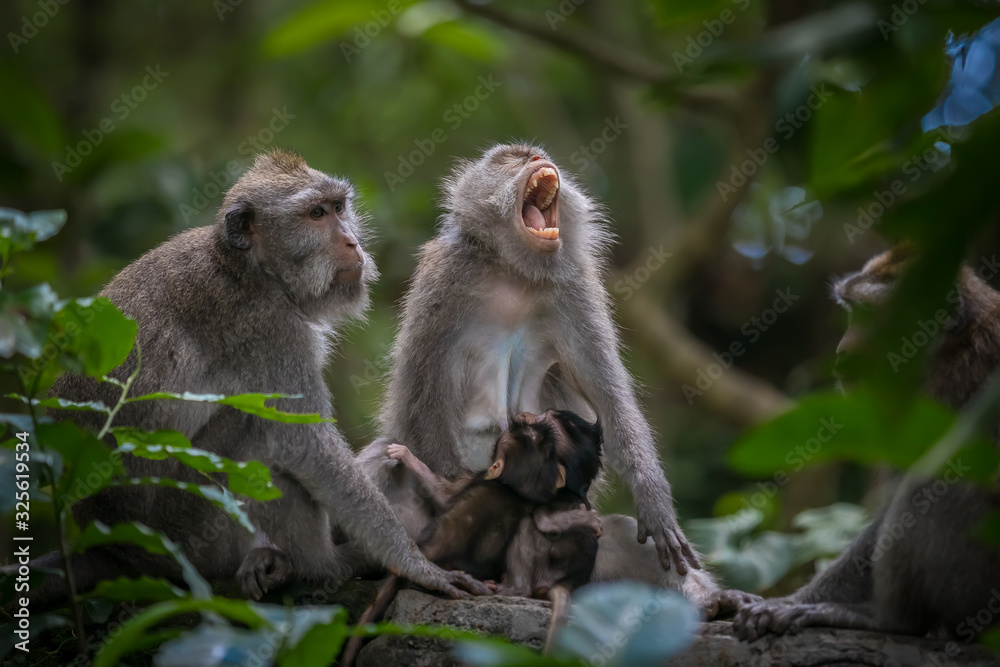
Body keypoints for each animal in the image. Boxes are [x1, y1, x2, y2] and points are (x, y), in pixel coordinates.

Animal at [5, 149, 490, 608]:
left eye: (339, 207)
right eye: (316, 214)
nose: (352, 242)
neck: (251, 269)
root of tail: (107, 545)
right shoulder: (270, 332)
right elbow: (307, 445)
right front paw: (419, 566)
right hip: (183, 534)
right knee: (259, 432)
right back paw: (325, 563)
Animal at [356, 144, 752, 620]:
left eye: (535, 153)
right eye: (513, 158)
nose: (537, 158)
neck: (514, 272)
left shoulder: (575, 289)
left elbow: (610, 401)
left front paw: (655, 502)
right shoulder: (442, 282)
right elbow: (422, 400)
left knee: (620, 532)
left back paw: (711, 601)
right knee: (381, 456)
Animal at [736, 248, 1000, 644]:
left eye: (870, 316)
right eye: (850, 312)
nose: (843, 352)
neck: (950, 346)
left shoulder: (940, 396)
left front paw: (790, 603)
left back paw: (893, 619)